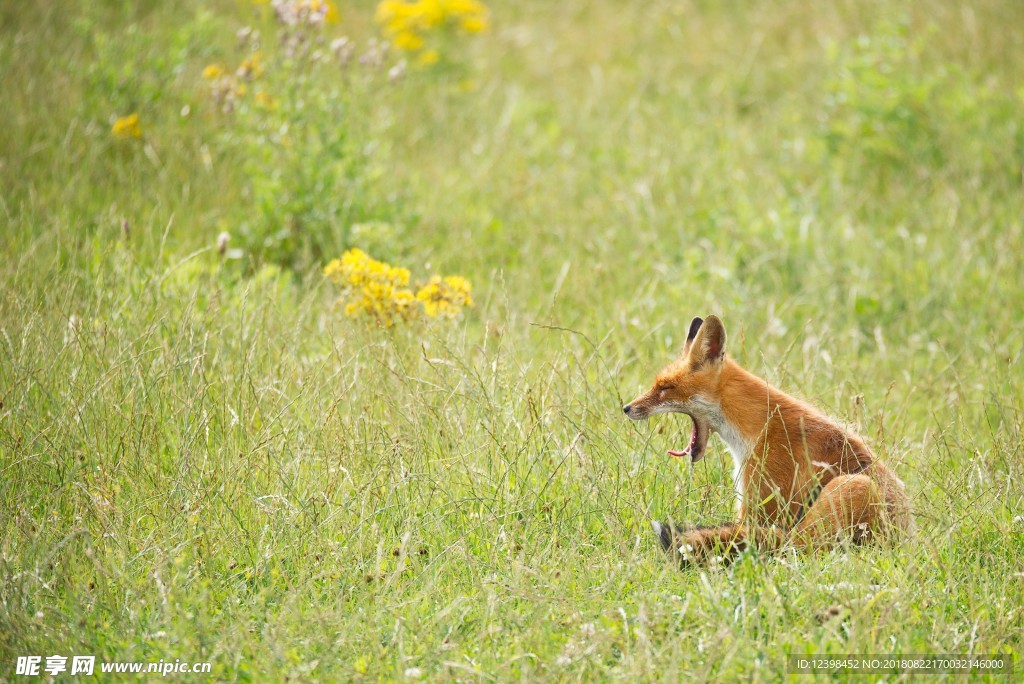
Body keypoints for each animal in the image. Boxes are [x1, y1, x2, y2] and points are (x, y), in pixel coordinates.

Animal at [622, 317, 913, 565]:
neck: (756, 427)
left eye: (665, 387)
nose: (626, 408)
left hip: (850, 491)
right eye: (657, 384)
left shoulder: (761, 500)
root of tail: (903, 543)